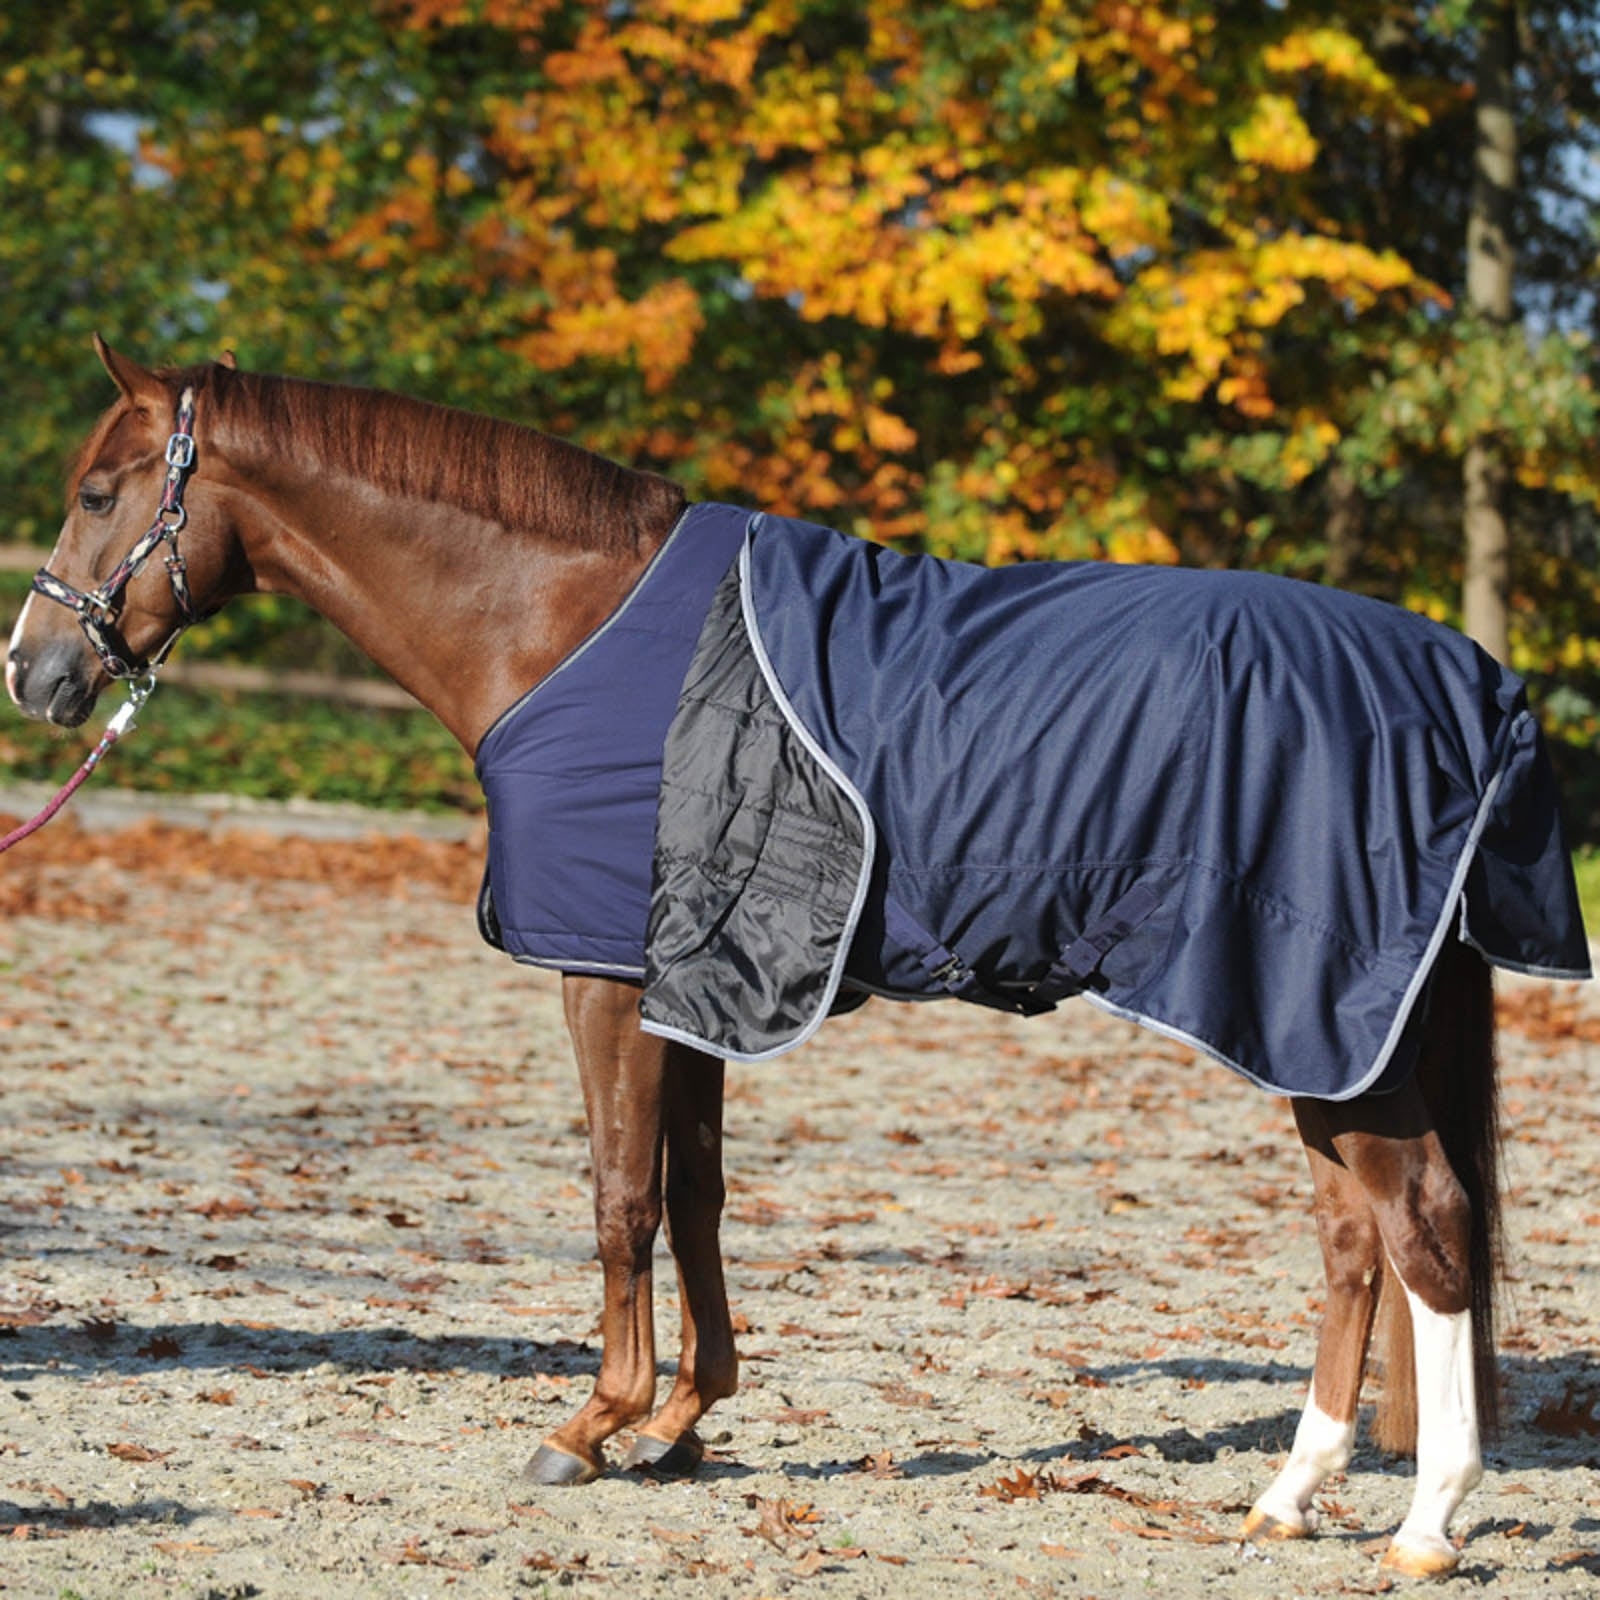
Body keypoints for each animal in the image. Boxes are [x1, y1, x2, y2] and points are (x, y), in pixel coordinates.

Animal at [5, 340, 1590, 1580]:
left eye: (97, 494)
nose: (36, 670)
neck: (563, 618)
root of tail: (1470, 686)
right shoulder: (695, 983)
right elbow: (697, 1196)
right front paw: (683, 1420)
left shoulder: (607, 980)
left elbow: (620, 1196)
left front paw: (588, 1426)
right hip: (1310, 1029)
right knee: (1355, 1240)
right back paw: (1288, 1496)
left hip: (1326, 1024)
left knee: (1429, 1226)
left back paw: (1427, 1524)